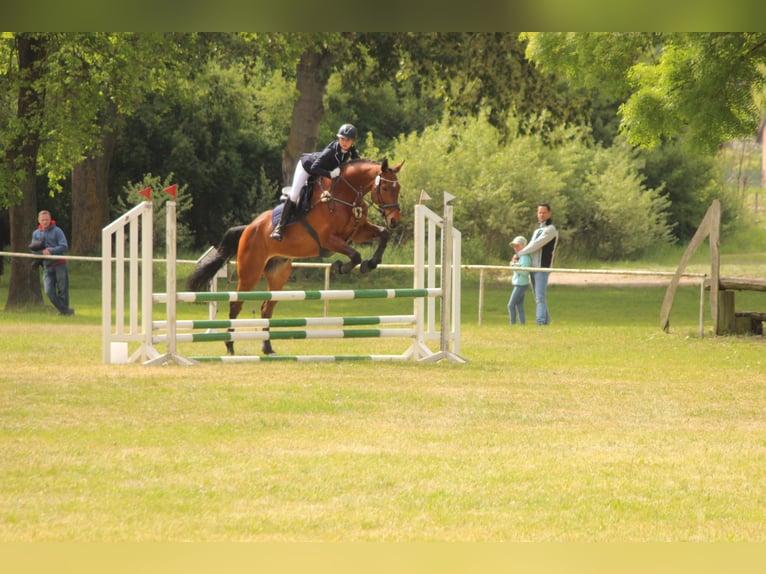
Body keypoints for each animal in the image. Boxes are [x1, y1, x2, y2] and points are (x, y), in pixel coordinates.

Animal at [187, 158, 404, 356]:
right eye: (385, 187)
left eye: (398, 188)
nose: (394, 220)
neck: (344, 194)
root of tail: (249, 227)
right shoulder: (328, 240)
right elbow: (355, 255)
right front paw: (341, 267)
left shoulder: (358, 233)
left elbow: (383, 234)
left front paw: (372, 263)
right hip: (250, 272)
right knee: (236, 304)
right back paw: (230, 345)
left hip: (278, 273)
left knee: (266, 308)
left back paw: (267, 347)